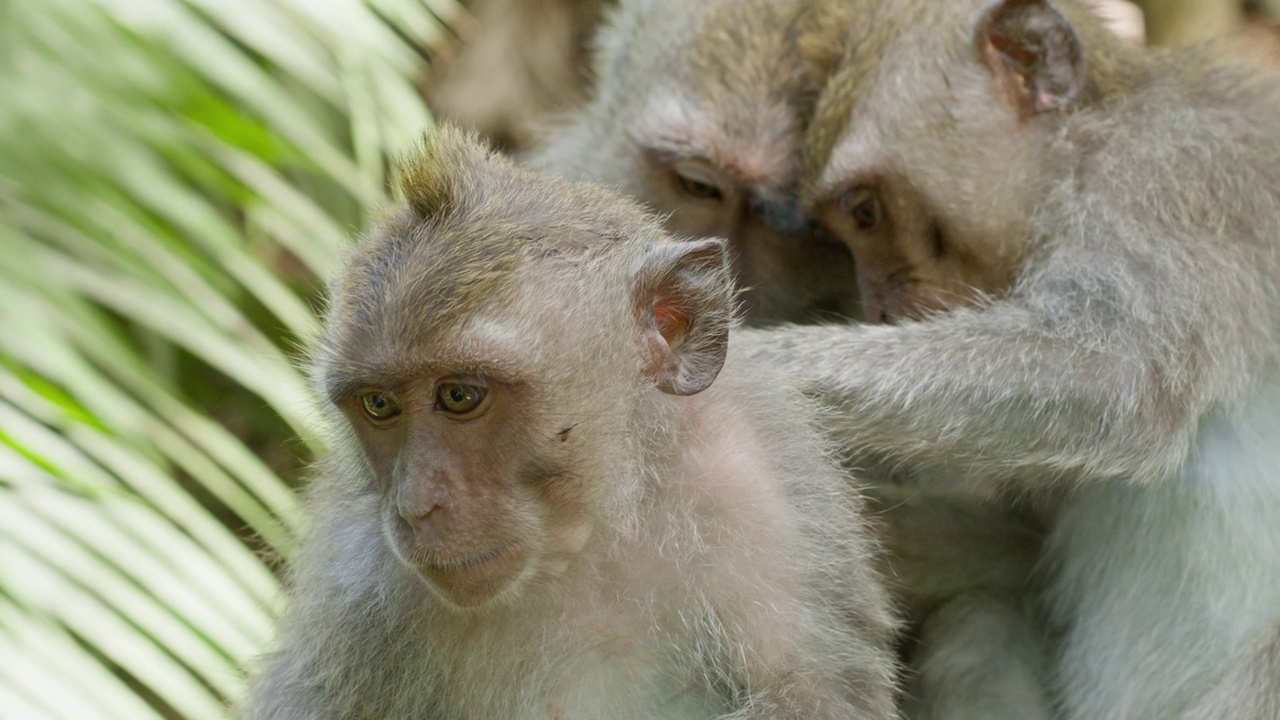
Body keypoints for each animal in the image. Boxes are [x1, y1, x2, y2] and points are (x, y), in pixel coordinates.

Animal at [240, 128, 901, 717]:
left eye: (459, 396)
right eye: (379, 406)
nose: (414, 506)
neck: (597, 533)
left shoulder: (759, 497)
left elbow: (809, 691)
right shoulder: (351, 590)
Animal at [737, 0, 1280, 712]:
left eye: (866, 213)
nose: (877, 309)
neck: (1092, 134)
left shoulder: (1167, 179)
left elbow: (1113, 373)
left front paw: (726, 354)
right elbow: (1024, 543)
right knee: (980, 622)